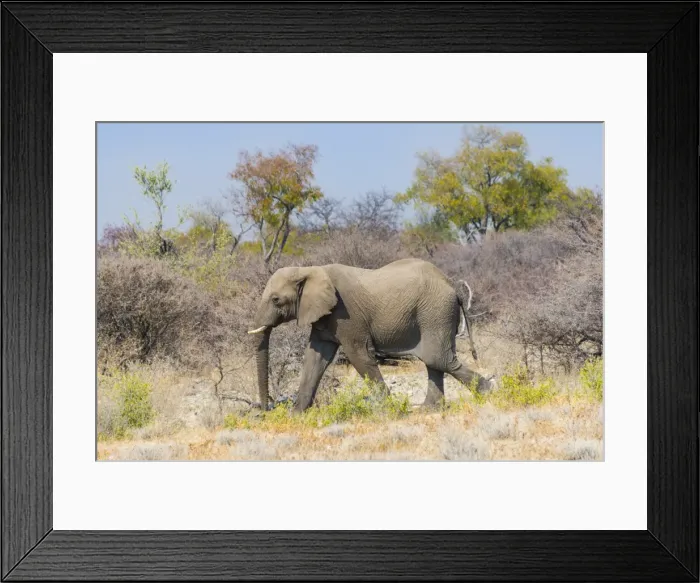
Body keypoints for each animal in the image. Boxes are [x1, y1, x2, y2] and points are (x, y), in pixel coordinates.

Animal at [248, 257, 493, 412]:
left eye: (276, 300)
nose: (264, 412)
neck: (309, 270)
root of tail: (451, 284)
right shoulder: (323, 317)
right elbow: (314, 359)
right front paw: (296, 415)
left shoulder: (346, 315)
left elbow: (359, 356)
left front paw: (390, 410)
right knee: (434, 360)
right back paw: (429, 409)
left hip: (436, 310)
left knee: (437, 358)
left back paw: (489, 393)